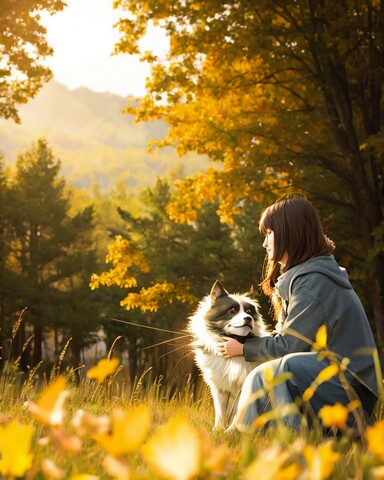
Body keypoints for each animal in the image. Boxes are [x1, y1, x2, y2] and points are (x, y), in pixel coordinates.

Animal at [188, 280, 268, 430]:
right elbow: (221, 412)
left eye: (249, 312)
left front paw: (231, 430)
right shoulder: (220, 386)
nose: (248, 318)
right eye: (232, 311)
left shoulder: (243, 387)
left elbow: (238, 412)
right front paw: (217, 430)